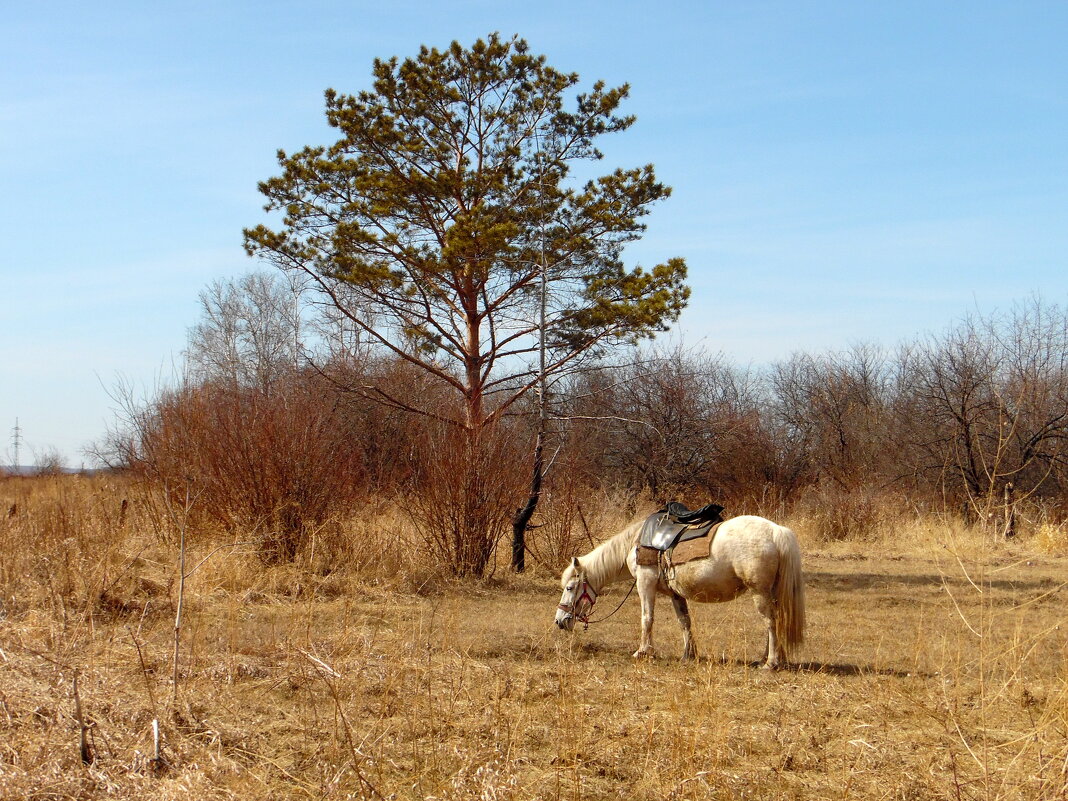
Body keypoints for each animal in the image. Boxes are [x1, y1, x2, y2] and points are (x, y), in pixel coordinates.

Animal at [555, 514, 803, 670]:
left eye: (570, 588)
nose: (560, 621)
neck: (635, 542)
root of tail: (776, 531)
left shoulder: (645, 583)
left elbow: (647, 618)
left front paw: (643, 651)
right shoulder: (676, 594)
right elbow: (684, 621)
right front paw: (688, 655)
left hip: (759, 592)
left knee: (770, 622)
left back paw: (770, 662)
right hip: (770, 592)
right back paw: (765, 658)